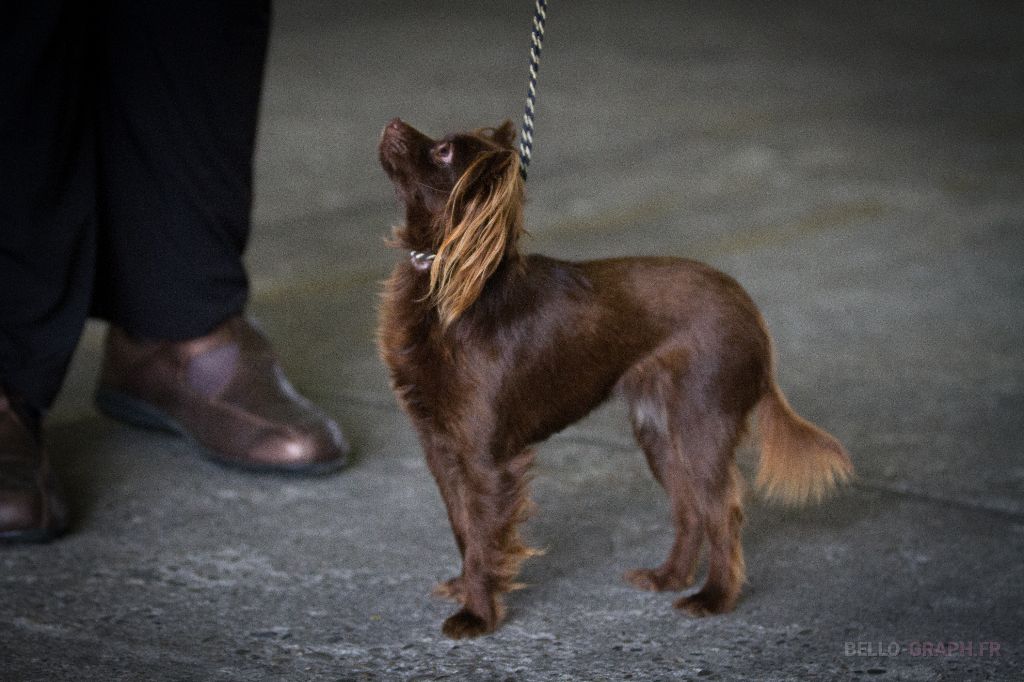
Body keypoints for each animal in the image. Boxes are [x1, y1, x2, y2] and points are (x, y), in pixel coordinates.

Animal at [380, 118, 851, 638]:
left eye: (443, 152)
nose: (394, 123)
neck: (447, 279)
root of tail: (752, 314)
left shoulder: (486, 460)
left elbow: (485, 540)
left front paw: (477, 614)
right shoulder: (441, 449)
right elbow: (464, 529)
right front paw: (464, 588)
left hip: (701, 427)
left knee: (722, 513)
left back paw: (713, 597)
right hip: (660, 433)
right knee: (690, 510)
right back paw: (669, 577)